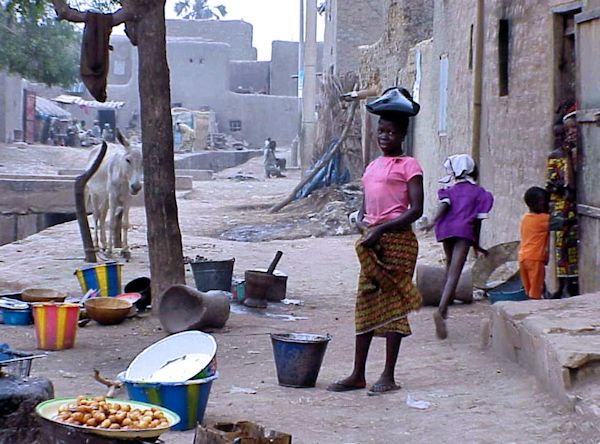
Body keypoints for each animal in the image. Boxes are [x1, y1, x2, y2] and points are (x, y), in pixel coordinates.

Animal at [85, 130, 143, 258]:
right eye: (128, 160)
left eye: (143, 161)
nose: (136, 187)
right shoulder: (113, 196)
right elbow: (111, 223)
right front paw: (109, 252)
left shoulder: (128, 198)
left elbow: (125, 224)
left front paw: (126, 250)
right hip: (94, 193)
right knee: (96, 215)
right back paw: (96, 245)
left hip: (105, 197)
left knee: (102, 215)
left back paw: (104, 244)